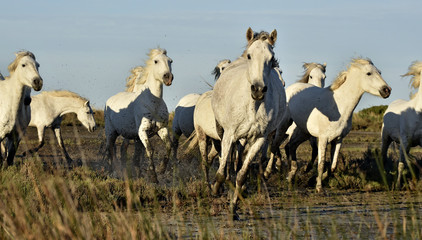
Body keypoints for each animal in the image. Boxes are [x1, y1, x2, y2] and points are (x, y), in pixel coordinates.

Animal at [104, 48, 174, 182]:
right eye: (156, 61)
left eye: (170, 61)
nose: (168, 77)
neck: (153, 103)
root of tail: (109, 100)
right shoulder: (142, 131)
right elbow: (150, 150)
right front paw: (153, 177)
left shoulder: (162, 128)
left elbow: (168, 146)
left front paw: (161, 169)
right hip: (111, 132)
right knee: (110, 150)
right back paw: (113, 173)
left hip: (128, 134)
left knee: (123, 150)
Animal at [213, 27, 286, 218]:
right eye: (250, 56)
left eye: (271, 59)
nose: (258, 89)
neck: (253, 106)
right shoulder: (229, 134)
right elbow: (221, 171)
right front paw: (215, 189)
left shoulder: (259, 139)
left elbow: (242, 174)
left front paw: (233, 208)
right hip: (224, 132)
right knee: (227, 161)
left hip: (245, 139)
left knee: (237, 162)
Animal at [288, 58, 390, 193]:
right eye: (369, 73)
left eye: (379, 72)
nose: (387, 90)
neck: (338, 106)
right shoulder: (323, 139)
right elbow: (321, 164)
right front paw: (319, 187)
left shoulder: (338, 139)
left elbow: (333, 166)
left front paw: (314, 179)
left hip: (303, 132)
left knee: (291, 146)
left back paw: (291, 176)